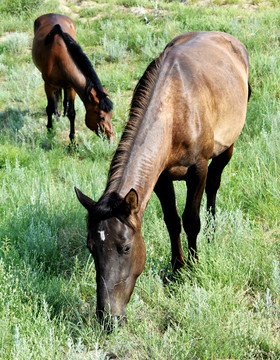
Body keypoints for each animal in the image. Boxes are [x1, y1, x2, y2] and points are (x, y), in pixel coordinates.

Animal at [32, 14, 115, 143]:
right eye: (101, 117)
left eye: (111, 114)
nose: (112, 137)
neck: (59, 59)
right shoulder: (48, 85)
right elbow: (49, 108)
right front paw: (49, 131)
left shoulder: (71, 88)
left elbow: (72, 113)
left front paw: (72, 141)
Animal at [74, 31, 249, 324]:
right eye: (90, 247)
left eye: (125, 248)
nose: (108, 317)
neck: (175, 108)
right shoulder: (161, 180)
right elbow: (172, 221)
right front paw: (177, 268)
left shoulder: (198, 170)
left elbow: (191, 220)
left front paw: (194, 266)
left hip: (226, 147)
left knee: (214, 184)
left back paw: (212, 230)